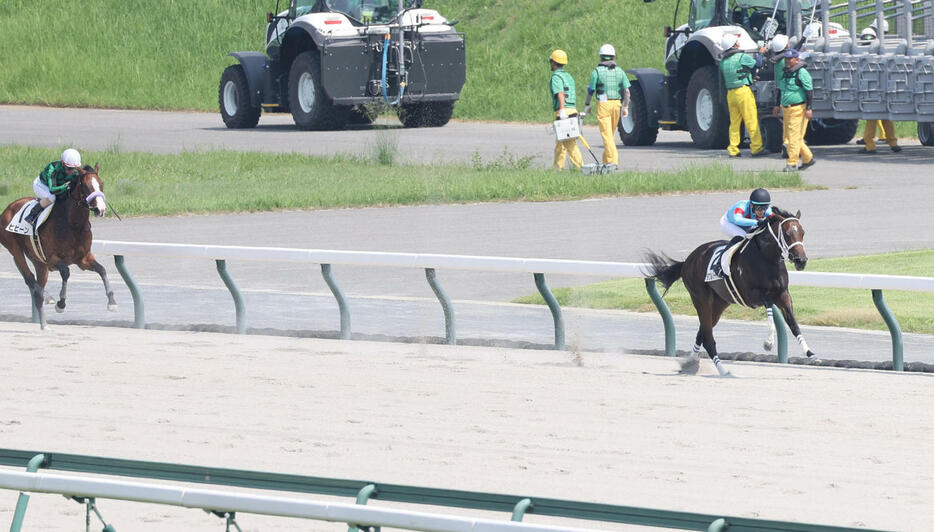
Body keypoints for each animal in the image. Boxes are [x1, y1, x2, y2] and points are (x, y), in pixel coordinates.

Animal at [0, 165, 117, 328]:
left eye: (101, 184)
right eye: (86, 186)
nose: (101, 209)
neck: (72, 225)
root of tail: (9, 207)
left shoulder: (83, 259)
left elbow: (102, 270)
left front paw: (112, 302)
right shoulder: (51, 258)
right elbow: (66, 272)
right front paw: (61, 304)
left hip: (39, 262)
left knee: (37, 289)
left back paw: (45, 325)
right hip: (15, 249)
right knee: (30, 279)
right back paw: (48, 297)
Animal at [648, 206, 816, 376]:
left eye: (802, 232)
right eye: (787, 234)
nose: (801, 261)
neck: (767, 258)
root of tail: (687, 261)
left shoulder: (783, 294)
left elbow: (794, 324)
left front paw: (810, 353)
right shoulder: (753, 296)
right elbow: (769, 305)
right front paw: (768, 342)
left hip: (719, 304)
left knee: (702, 333)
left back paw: (690, 363)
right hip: (701, 299)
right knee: (708, 338)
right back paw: (723, 370)